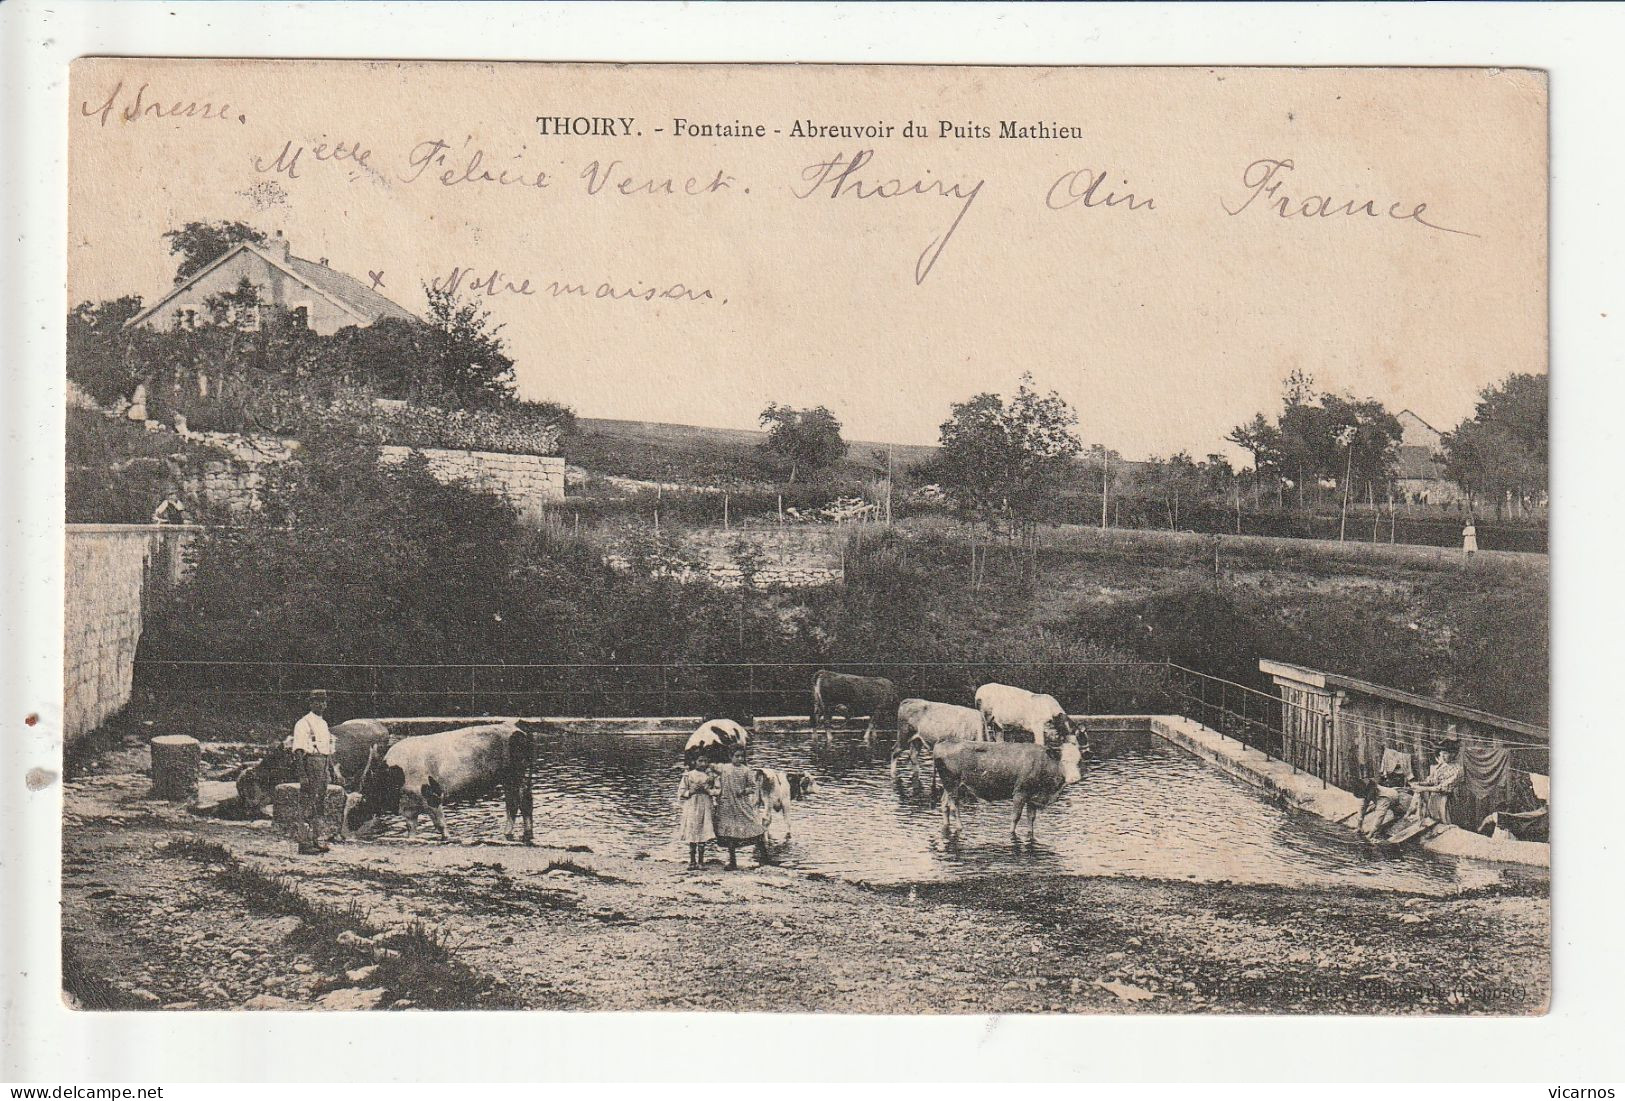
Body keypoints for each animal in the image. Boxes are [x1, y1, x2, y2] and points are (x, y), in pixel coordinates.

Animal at [347, 724, 539, 844]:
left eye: (355, 810)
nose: (346, 835)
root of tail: (518, 730)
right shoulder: (409, 807)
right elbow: (411, 829)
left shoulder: (432, 797)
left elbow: (440, 824)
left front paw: (447, 838)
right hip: (509, 781)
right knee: (516, 804)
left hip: (517, 778)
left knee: (522, 803)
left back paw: (519, 834)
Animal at [936, 740, 1085, 844]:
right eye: (1064, 761)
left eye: (1079, 761)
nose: (1075, 778)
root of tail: (944, 743)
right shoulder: (1020, 793)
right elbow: (1016, 817)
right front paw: (1011, 833)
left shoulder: (1033, 797)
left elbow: (1031, 818)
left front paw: (1030, 834)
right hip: (952, 785)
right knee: (954, 807)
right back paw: (960, 827)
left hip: (950, 786)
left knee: (944, 804)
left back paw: (946, 824)